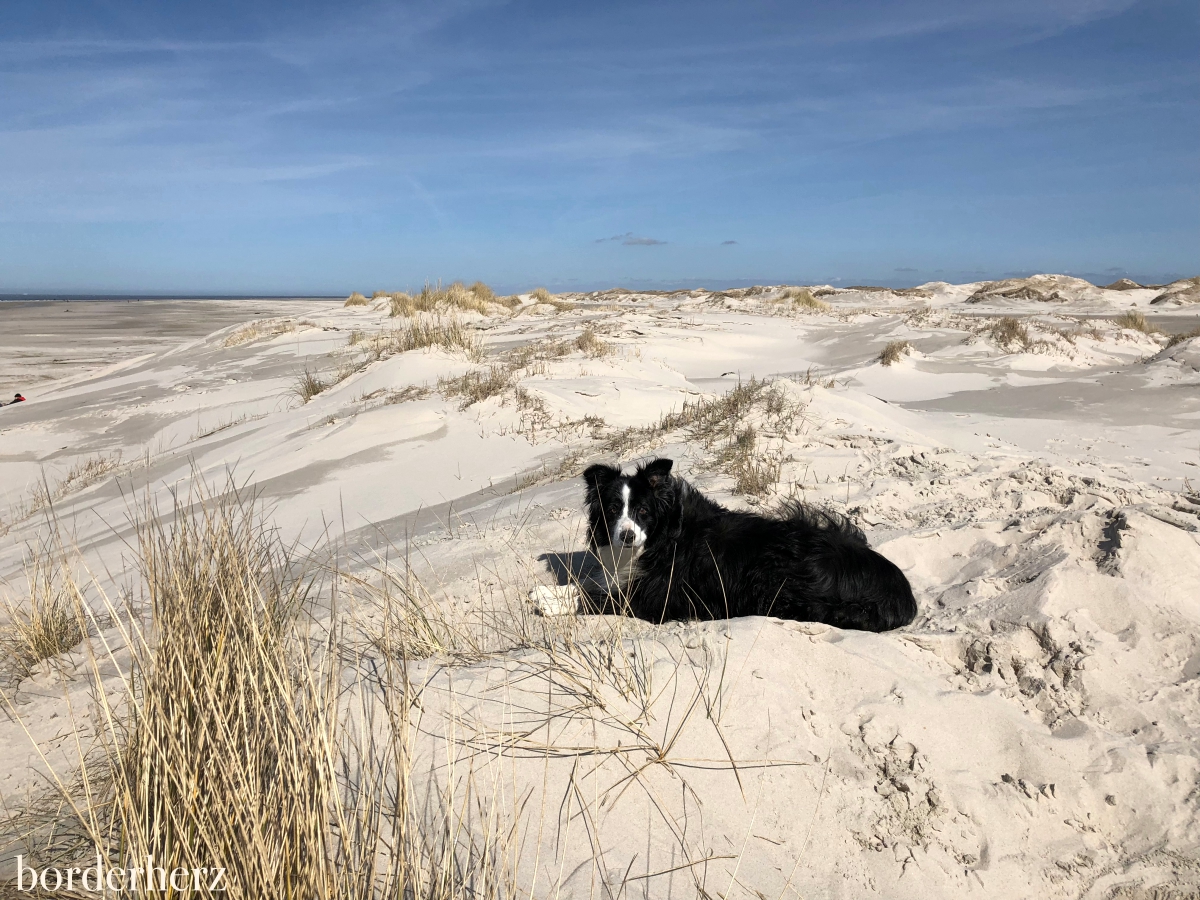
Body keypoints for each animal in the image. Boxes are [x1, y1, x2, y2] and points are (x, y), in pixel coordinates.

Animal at [566, 458, 912, 633]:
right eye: (613, 509)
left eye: (642, 511)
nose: (626, 536)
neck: (663, 534)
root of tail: (900, 592)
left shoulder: (659, 596)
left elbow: (593, 598)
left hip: (777, 565)